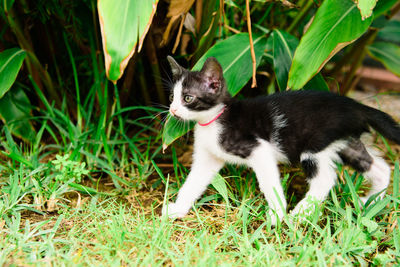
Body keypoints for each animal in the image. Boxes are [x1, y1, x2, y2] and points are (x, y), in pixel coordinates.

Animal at [162, 56, 400, 226]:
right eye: (172, 97)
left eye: (188, 98)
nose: (172, 110)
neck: (214, 120)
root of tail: (357, 106)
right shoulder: (208, 157)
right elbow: (193, 182)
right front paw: (178, 209)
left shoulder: (259, 149)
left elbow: (269, 183)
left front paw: (277, 215)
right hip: (346, 142)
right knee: (379, 167)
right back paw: (371, 202)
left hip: (315, 144)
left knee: (325, 179)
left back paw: (300, 214)